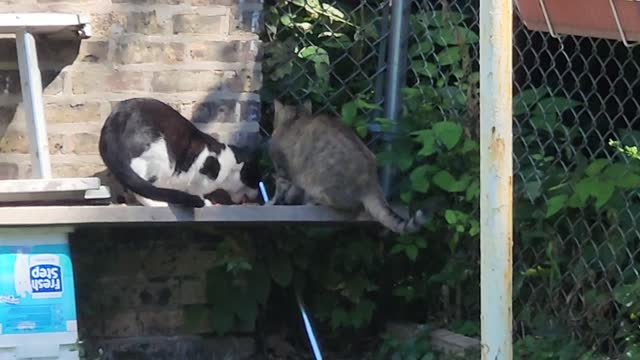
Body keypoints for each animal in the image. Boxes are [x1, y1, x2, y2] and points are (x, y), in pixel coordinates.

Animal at [100, 97, 260, 208]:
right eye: (255, 180)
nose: (257, 193)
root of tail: (113, 123)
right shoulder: (203, 168)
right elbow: (197, 189)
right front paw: (206, 201)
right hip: (161, 155)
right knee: (142, 188)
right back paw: (159, 204)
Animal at [268, 99, 442, 233]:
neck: (295, 120)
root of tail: (371, 184)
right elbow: (292, 189)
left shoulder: (282, 168)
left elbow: (279, 189)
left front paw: (273, 202)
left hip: (321, 183)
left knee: (348, 206)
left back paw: (315, 201)